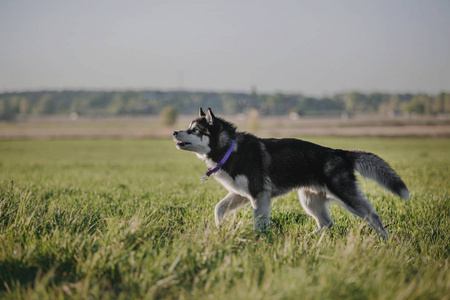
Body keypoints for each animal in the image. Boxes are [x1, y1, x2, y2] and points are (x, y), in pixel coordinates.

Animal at [171, 108, 408, 239]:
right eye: (187, 127)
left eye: (194, 130)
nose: (174, 131)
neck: (230, 149)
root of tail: (339, 152)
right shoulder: (241, 195)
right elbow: (218, 209)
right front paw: (220, 228)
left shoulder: (259, 196)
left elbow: (259, 222)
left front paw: (259, 240)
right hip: (308, 200)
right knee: (327, 224)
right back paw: (308, 238)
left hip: (346, 198)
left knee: (373, 216)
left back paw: (385, 240)